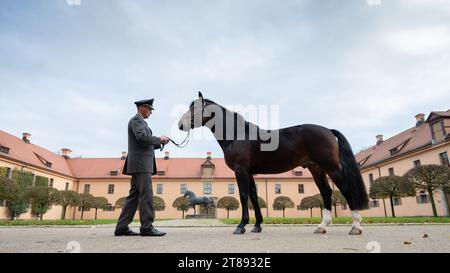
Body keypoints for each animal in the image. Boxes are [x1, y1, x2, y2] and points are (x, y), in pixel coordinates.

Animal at [177, 91, 370, 234]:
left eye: (194, 109)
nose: (180, 124)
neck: (237, 135)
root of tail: (328, 130)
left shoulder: (241, 170)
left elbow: (243, 195)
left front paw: (241, 226)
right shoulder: (249, 172)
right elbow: (254, 196)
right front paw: (257, 226)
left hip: (331, 167)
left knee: (345, 189)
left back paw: (355, 226)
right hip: (316, 168)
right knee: (326, 192)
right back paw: (322, 226)